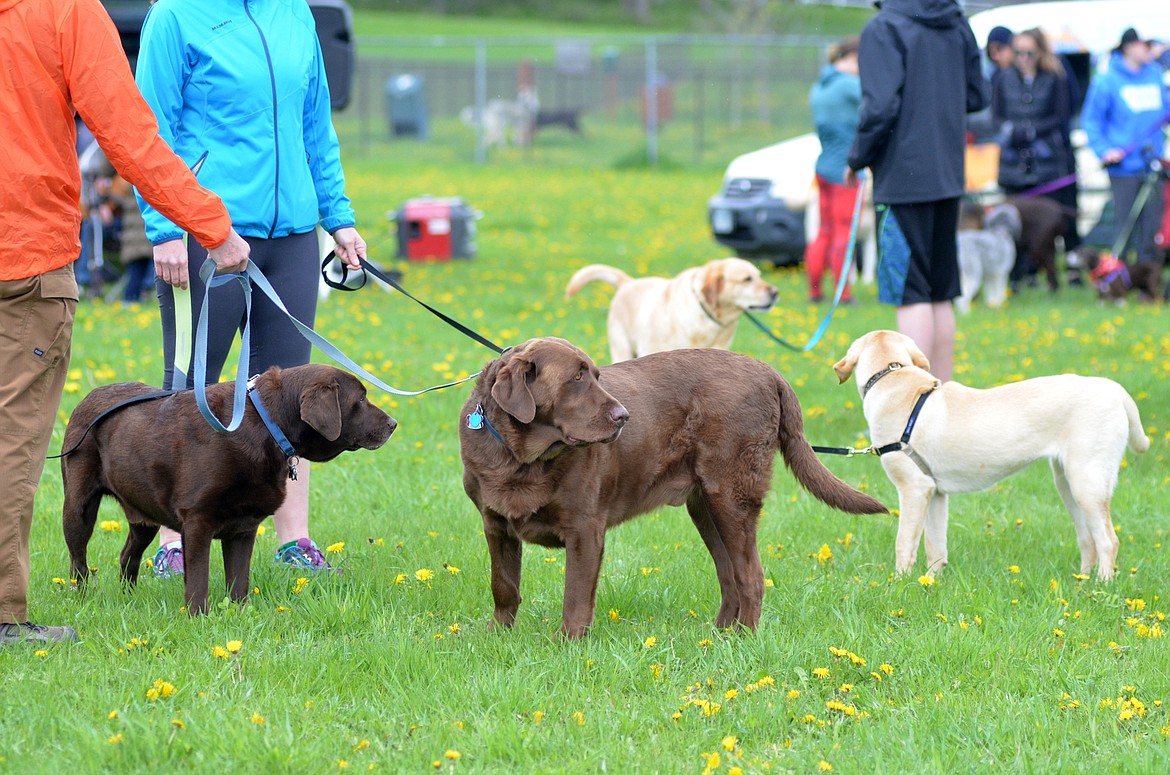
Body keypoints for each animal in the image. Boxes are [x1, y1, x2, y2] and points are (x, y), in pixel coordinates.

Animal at [61, 367, 395, 618]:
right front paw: (197, 617)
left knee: (127, 554)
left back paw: (128, 598)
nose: (393, 424)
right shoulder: (198, 520)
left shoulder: (243, 528)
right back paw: (81, 599)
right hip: (78, 508)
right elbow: (199, 577)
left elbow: (239, 579)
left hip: (144, 517)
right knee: (78, 560)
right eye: (361, 399)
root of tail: (87, 397)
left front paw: (239, 614)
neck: (267, 423)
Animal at [458, 337, 884, 641]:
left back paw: (745, 637)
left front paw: (567, 644)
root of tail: (768, 371)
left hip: (730, 497)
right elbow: (503, 585)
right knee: (729, 575)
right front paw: (497, 636)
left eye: (594, 375)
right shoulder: (494, 524)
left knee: (751, 575)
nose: (624, 416)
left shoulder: (585, 528)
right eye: (576, 378)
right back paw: (720, 635)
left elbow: (575, 595)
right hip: (706, 507)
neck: (520, 458)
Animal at [833, 330, 1151, 583]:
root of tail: (1113, 389)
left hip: (1087, 482)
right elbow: (935, 547)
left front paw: (899, 583)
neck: (892, 374)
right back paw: (1082, 582)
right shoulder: (934, 493)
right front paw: (931, 582)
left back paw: (1102, 586)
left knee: (1108, 540)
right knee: (1088, 540)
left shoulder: (913, 489)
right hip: (1068, 485)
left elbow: (904, 543)